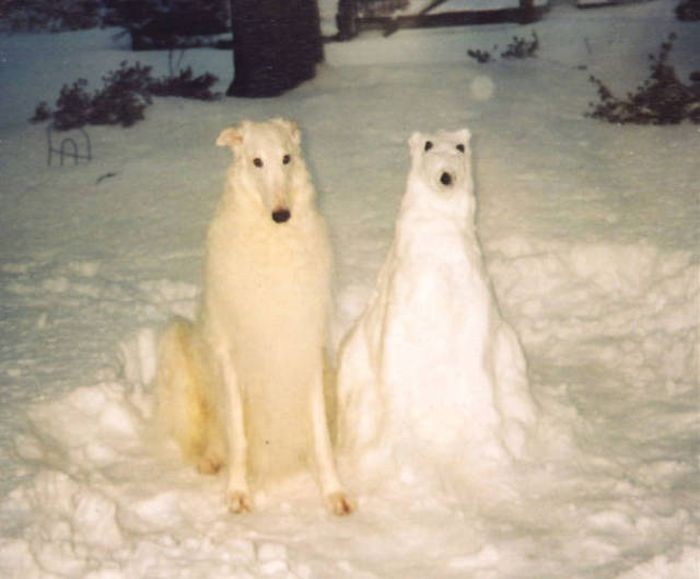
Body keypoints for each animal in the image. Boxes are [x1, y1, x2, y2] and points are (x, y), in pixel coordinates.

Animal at [156, 119, 352, 516]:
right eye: (256, 161)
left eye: (286, 158)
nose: (282, 215)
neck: (271, 246)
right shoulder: (231, 357)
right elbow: (240, 437)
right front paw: (238, 492)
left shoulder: (305, 347)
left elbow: (320, 436)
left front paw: (333, 492)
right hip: (175, 340)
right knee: (209, 439)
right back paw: (211, 459)